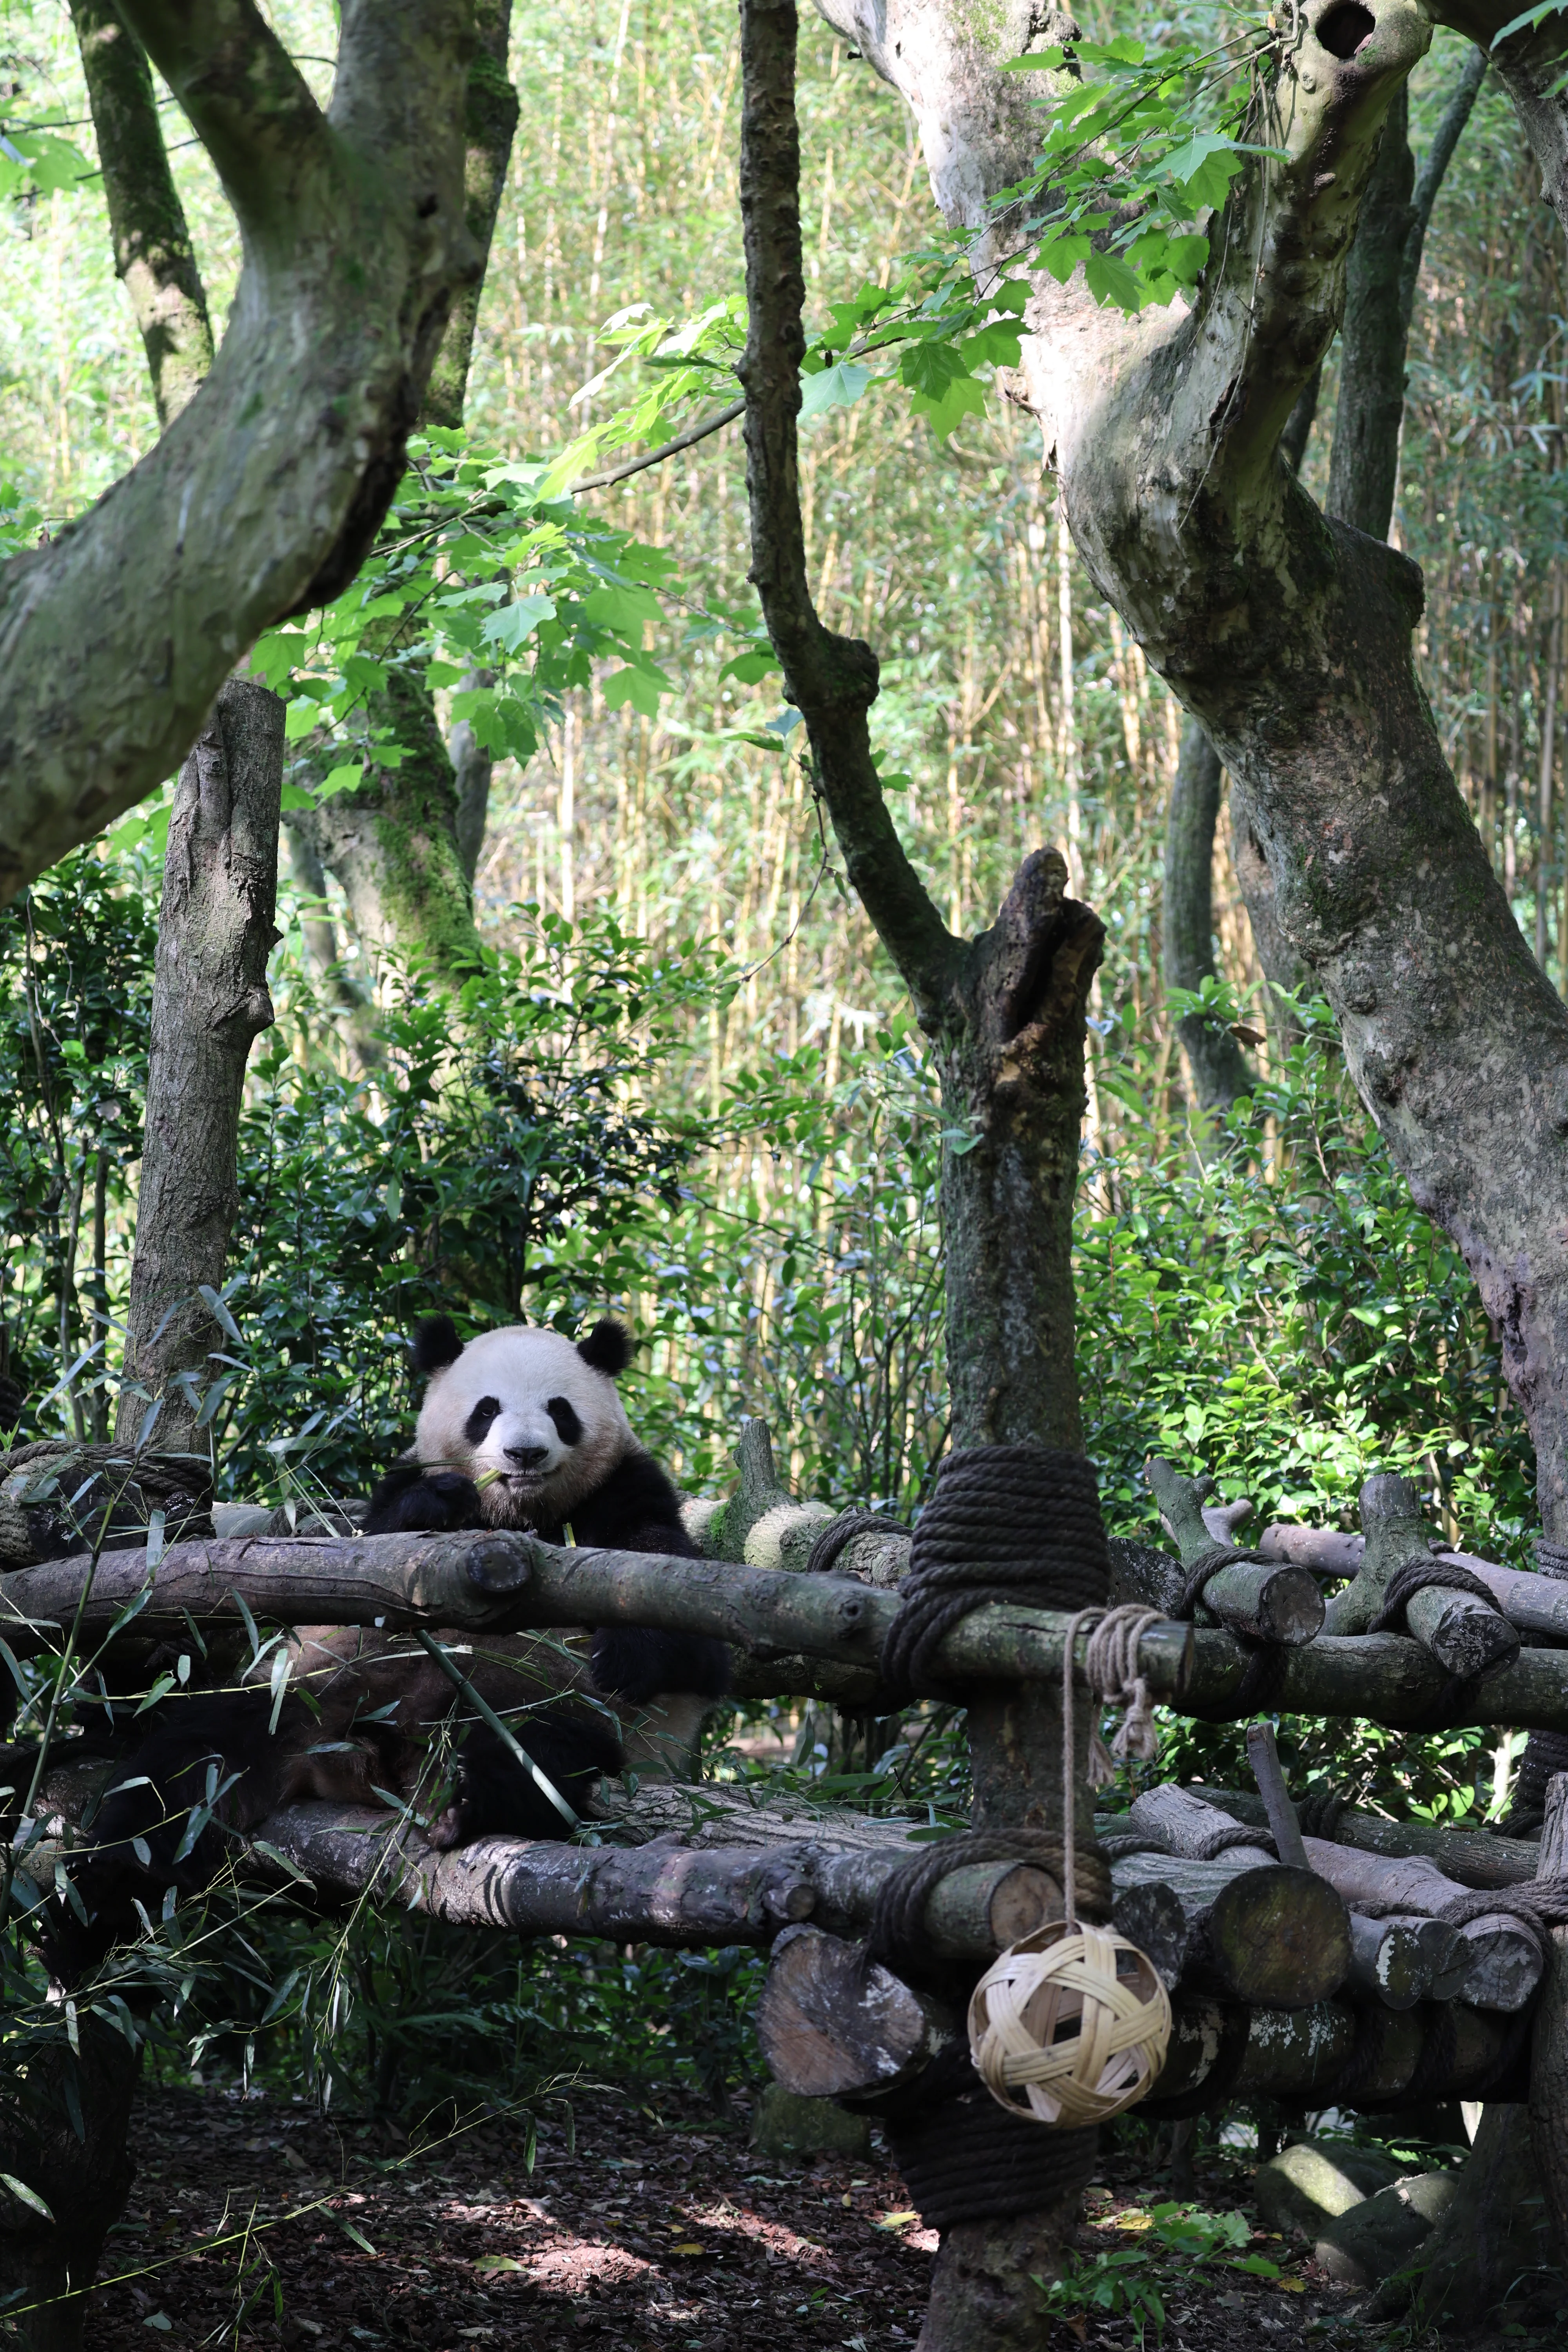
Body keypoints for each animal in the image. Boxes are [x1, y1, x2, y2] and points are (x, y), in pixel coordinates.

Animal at [47, 1316, 728, 1983]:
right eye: (487, 1409)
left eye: (559, 1410)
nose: (525, 1453)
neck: (519, 1515)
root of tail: (368, 1758)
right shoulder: (391, 1511)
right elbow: (353, 1575)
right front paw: (440, 1503)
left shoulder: (625, 1493)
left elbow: (679, 1610)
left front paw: (623, 1656)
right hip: (304, 1694)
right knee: (176, 1786)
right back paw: (90, 1920)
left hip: (546, 1713)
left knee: (539, 1758)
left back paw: (462, 1801)